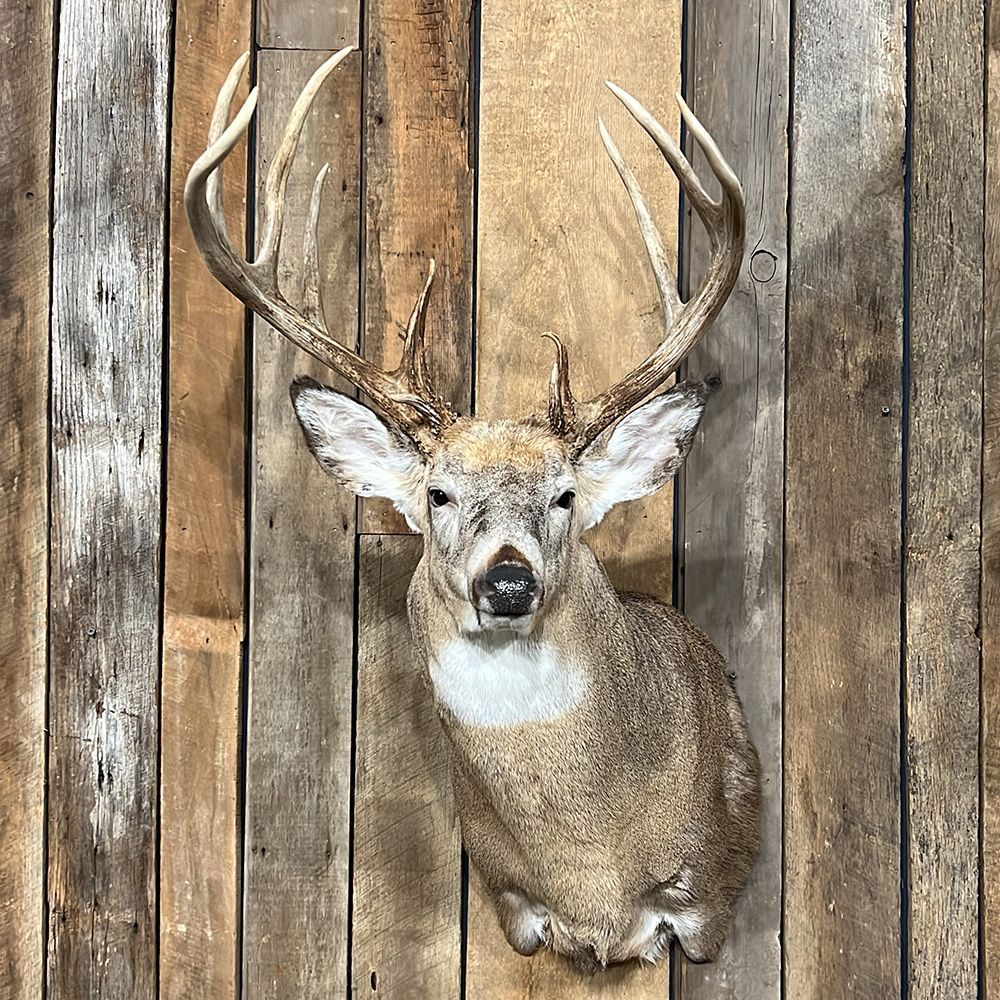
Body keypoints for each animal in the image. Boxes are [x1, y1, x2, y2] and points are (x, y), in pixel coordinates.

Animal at [186, 47, 759, 973]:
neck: (592, 876)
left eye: (566, 493)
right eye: (438, 492)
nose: (510, 582)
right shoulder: (514, 906)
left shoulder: (707, 896)